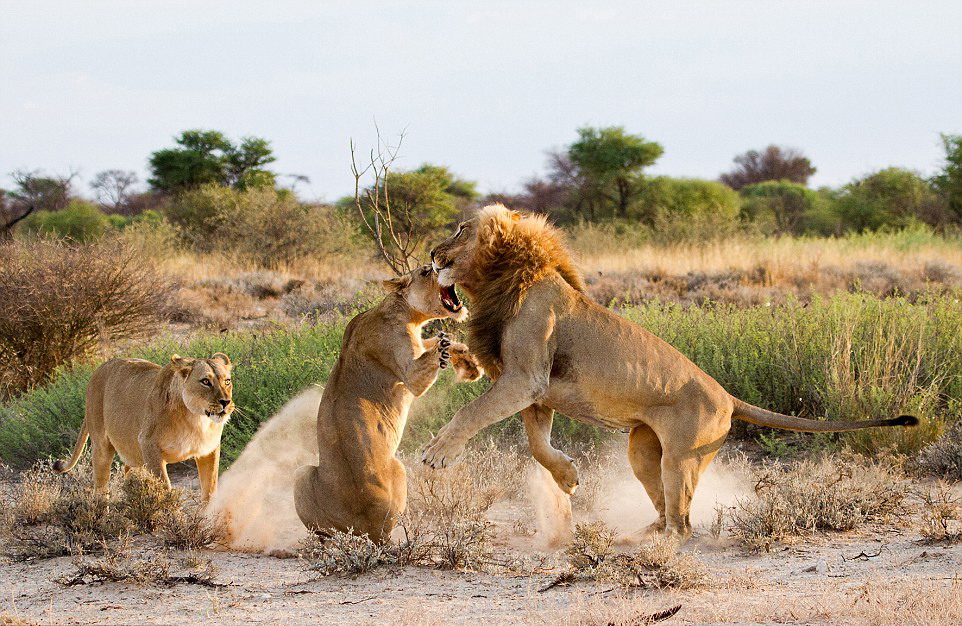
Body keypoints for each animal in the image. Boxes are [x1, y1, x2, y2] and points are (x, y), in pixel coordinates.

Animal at [54, 354, 234, 500]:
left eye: (227, 381)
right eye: (205, 381)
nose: (226, 402)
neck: (196, 419)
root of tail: (98, 369)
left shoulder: (208, 450)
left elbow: (209, 489)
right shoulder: (149, 446)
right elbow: (165, 488)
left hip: (134, 456)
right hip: (102, 446)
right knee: (100, 488)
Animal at [292, 264, 484, 540]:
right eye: (425, 271)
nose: (440, 265)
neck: (406, 313)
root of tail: (364, 531)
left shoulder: (418, 345)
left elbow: (441, 342)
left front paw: (469, 364)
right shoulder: (411, 375)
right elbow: (438, 347)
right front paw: (462, 359)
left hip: (302, 476)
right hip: (398, 467)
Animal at [420, 205, 916, 536]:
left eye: (460, 229)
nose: (431, 254)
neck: (500, 277)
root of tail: (728, 397)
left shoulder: (525, 377)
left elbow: (471, 413)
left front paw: (437, 453)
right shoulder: (535, 390)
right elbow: (538, 446)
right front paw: (568, 478)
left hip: (682, 458)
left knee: (683, 524)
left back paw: (649, 548)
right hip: (642, 449)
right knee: (664, 510)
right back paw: (638, 535)